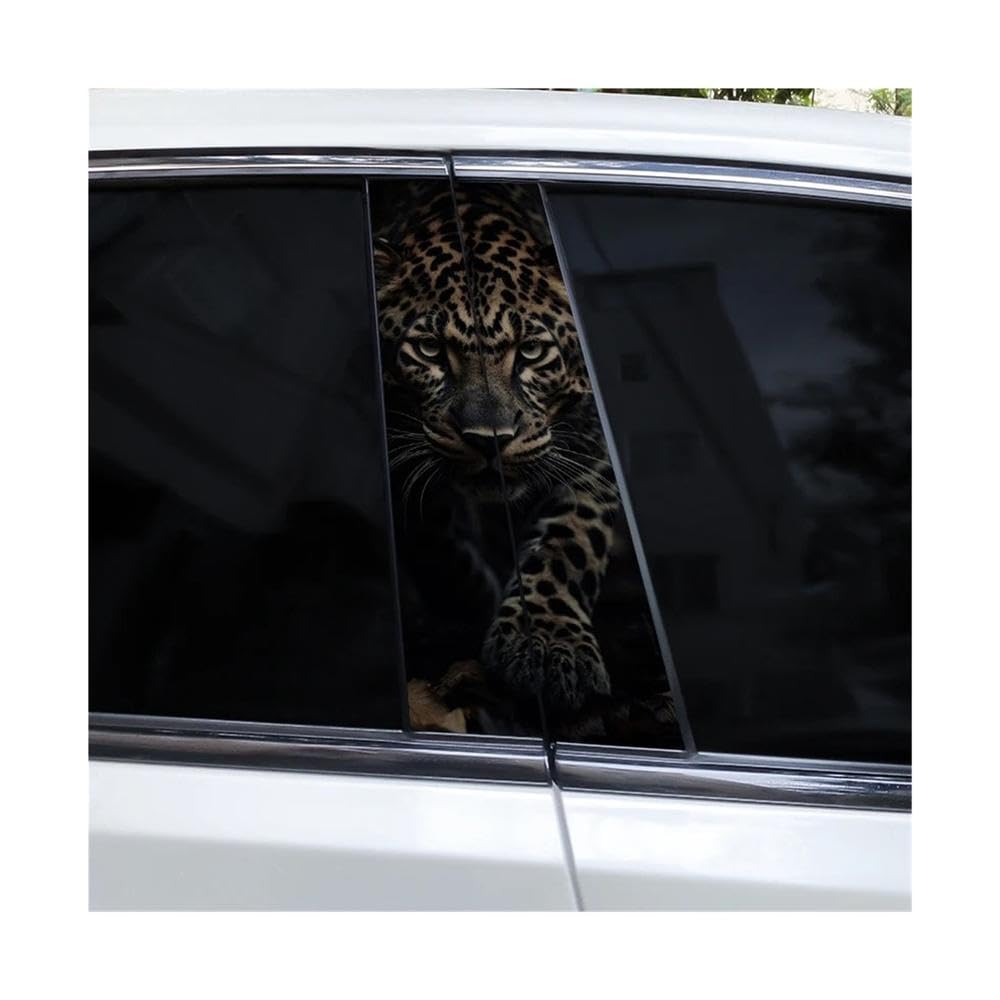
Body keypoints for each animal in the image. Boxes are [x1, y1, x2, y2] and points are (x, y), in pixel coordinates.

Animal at [373, 182, 620, 719]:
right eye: (429, 350)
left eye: (530, 351)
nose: (489, 439)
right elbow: (430, 531)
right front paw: (471, 597)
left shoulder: (593, 453)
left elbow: (570, 541)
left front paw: (548, 644)